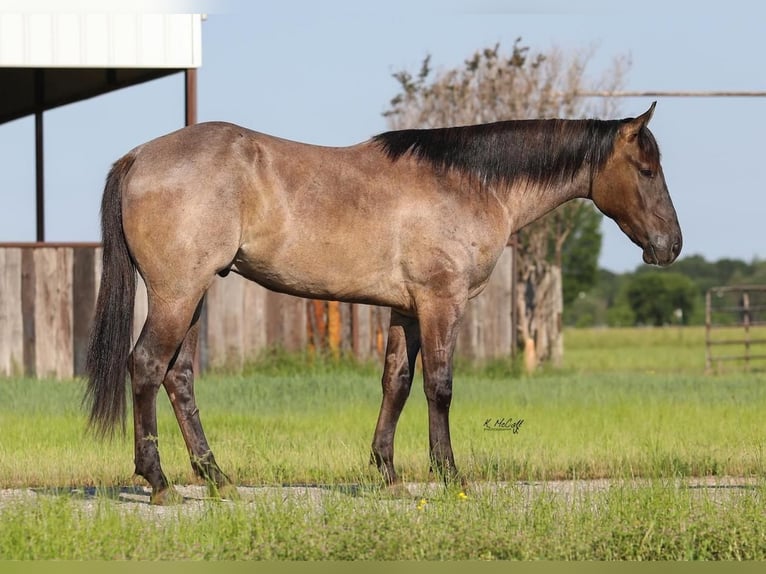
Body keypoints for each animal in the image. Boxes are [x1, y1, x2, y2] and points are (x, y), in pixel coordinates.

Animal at [85, 102, 684, 504]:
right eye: (647, 170)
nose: (671, 246)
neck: (469, 182)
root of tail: (139, 157)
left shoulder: (406, 310)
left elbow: (396, 381)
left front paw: (388, 473)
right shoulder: (441, 302)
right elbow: (439, 386)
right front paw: (450, 476)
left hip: (193, 297)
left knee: (178, 377)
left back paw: (217, 479)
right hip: (178, 294)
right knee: (147, 366)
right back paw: (159, 481)